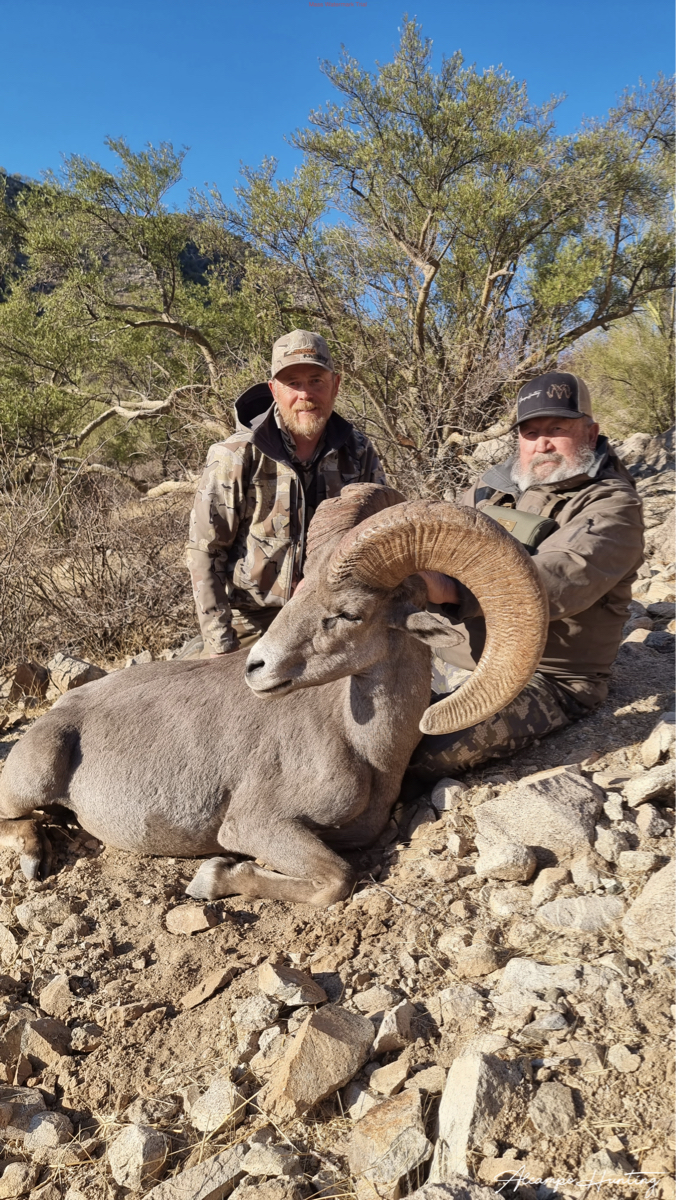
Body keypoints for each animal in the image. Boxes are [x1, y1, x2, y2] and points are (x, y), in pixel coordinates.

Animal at [0, 487, 548, 906]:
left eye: (349, 613)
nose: (256, 667)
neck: (365, 749)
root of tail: (61, 711)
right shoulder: (258, 827)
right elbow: (336, 879)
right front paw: (211, 878)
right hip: (30, 780)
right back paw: (33, 858)